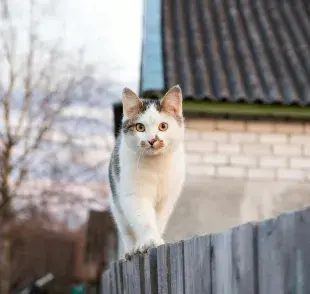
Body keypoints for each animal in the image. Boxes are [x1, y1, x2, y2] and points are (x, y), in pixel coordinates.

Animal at [108, 85, 185, 260]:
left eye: (163, 126)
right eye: (140, 127)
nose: (152, 140)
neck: (156, 165)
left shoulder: (167, 198)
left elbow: (159, 220)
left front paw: (156, 239)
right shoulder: (133, 195)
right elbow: (143, 219)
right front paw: (148, 241)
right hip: (116, 205)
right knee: (126, 229)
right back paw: (131, 249)